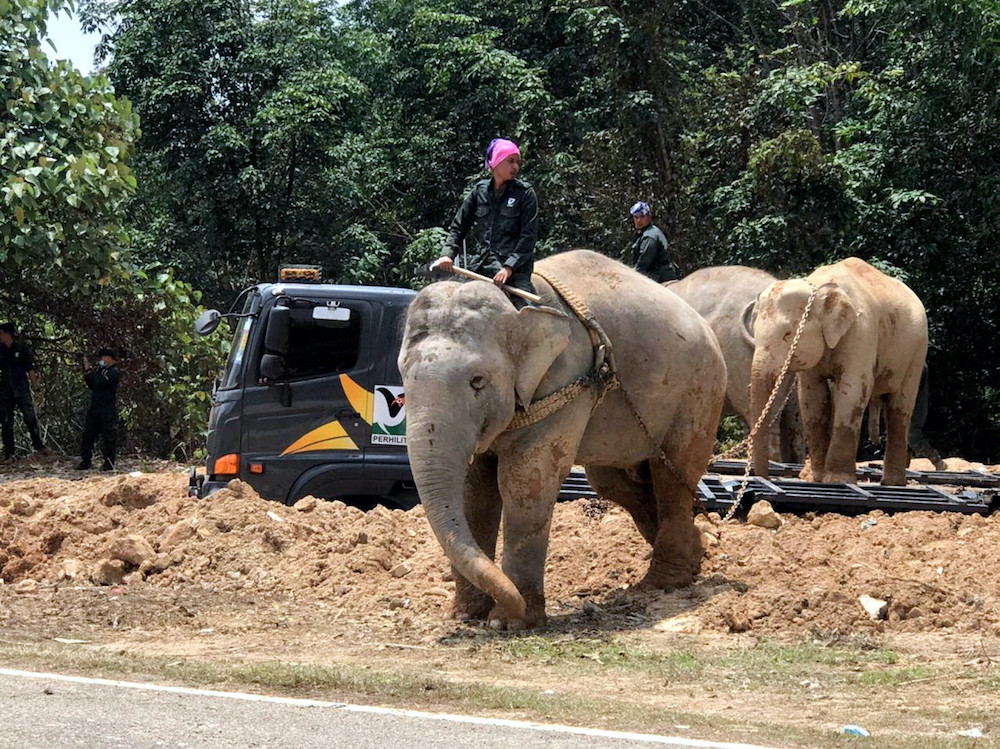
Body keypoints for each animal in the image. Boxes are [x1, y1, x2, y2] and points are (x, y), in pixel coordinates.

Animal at [399, 250, 727, 629]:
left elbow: (526, 480)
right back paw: (696, 553)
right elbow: (474, 489)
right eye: (403, 375)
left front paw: (512, 621)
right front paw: (467, 615)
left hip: (699, 393)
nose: (508, 604)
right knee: (615, 482)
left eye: (477, 381)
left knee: (672, 477)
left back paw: (661, 583)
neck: (518, 307)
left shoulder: (567, 378)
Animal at [749, 257, 928, 486]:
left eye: (787, 335)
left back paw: (892, 483)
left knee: (899, 407)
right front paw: (816, 478)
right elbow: (812, 396)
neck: (818, 287)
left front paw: (837, 481)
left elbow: (852, 390)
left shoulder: (862, 330)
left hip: (917, 351)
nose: (763, 477)